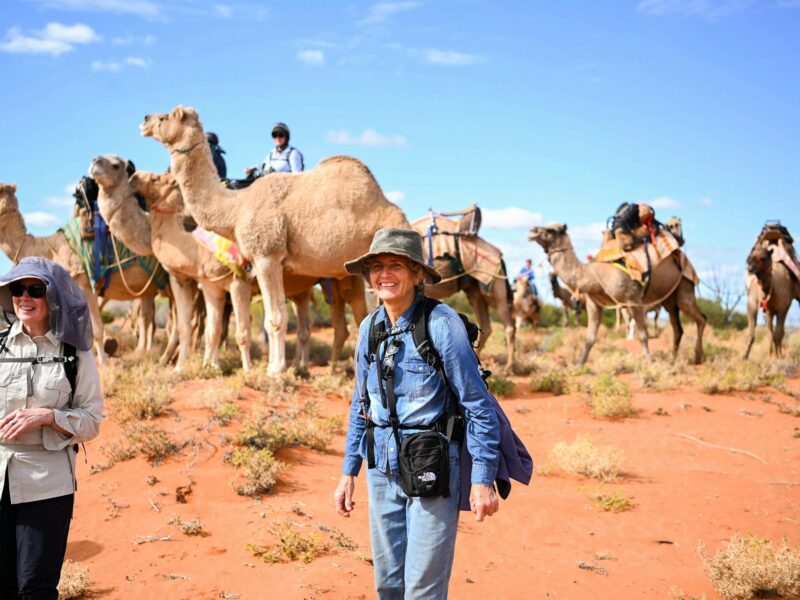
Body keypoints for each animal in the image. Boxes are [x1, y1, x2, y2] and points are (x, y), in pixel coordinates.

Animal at [0, 180, 163, 364]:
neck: (49, 247)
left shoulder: (83, 283)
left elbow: (95, 329)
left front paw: (103, 362)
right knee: (149, 317)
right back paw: (146, 352)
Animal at [141, 105, 406, 372]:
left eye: (164, 117)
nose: (144, 120)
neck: (236, 207)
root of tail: (395, 209)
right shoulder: (259, 263)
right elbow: (270, 317)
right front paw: (273, 365)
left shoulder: (267, 255)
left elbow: (276, 318)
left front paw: (275, 369)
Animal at [410, 216, 516, 366]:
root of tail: (499, 255)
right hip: (474, 290)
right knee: (486, 325)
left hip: (492, 283)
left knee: (508, 324)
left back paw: (509, 366)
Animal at [532, 225, 708, 366]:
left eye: (551, 230)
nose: (532, 231)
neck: (592, 275)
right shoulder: (593, 303)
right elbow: (589, 338)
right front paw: (579, 364)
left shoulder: (633, 300)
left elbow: (643, 335)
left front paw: (649, 363)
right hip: (669, 301)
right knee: (678, 329)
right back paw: (673, 359)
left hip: (685, 287)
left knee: (701, 318)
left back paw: (698, 357)